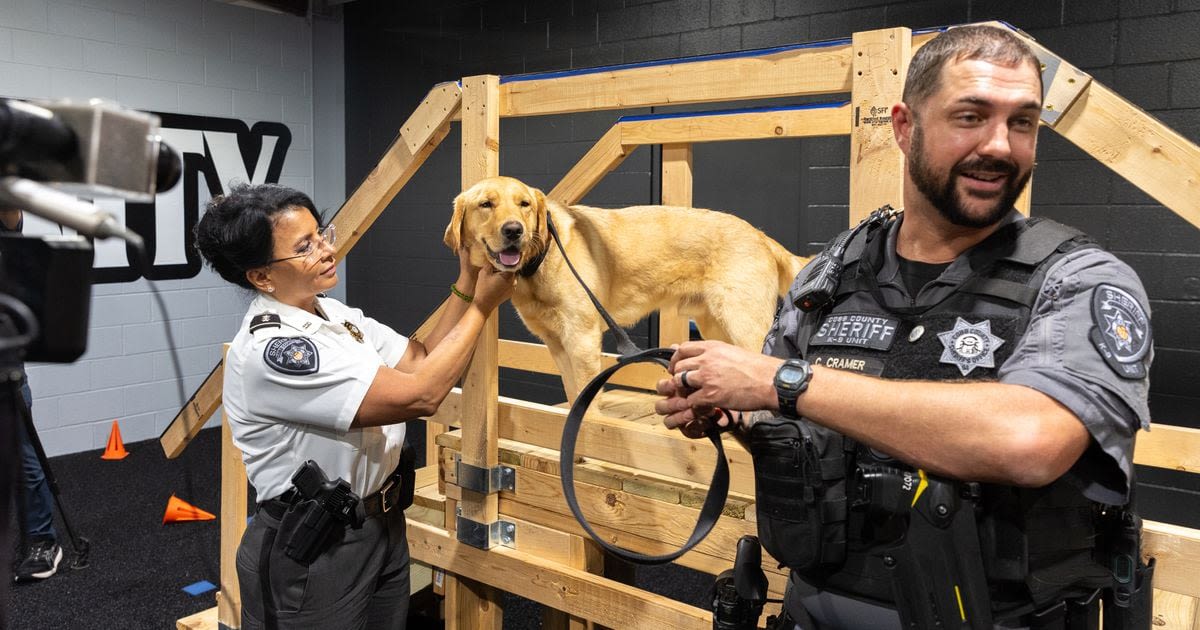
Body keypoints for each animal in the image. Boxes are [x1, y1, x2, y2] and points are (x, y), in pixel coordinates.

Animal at [448, 174, 806, 400]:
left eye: (524, 204)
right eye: (486, 204)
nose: (514, 230)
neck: (544, 256)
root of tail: (761, 235)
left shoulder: (582, 340)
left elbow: (587, 400)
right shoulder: (557, 344)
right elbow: (572, 392)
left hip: (743, 324)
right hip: (716, 327)